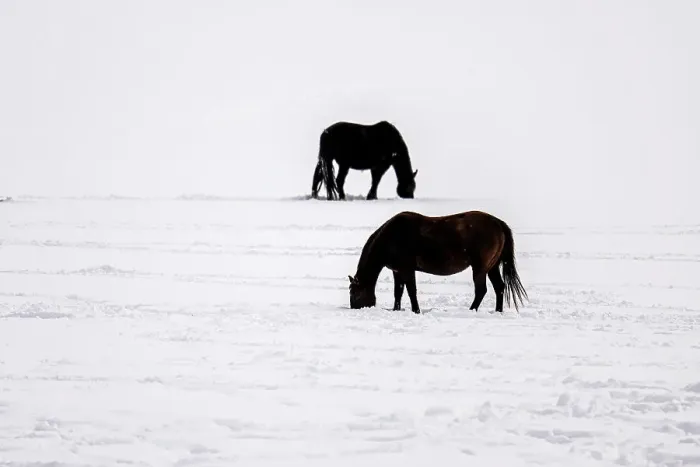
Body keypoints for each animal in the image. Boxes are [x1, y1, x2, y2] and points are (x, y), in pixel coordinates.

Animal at [348, 210, 528, 314]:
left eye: (354, 293)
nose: (354, 308)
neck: (391, 237)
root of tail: (499, 223)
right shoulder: (397, 271)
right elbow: (398, 292)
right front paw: (396, 309)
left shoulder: (407, 269)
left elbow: (411, 291)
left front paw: (416, 310)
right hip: (492, 267)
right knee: (499, 287)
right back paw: (498, 311)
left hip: (480, 267)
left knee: (481, 290)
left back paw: (471, 310)